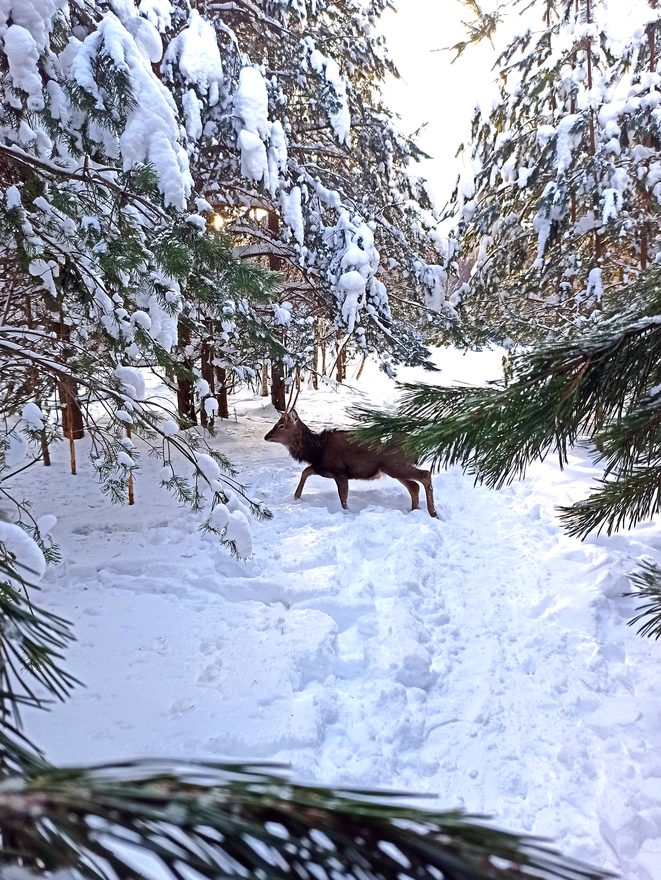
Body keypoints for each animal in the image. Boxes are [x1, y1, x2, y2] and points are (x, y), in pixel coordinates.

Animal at [262, 410, 438, 520]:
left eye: (281, 426)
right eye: (277, 423)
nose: (266, 436)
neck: (316, 451)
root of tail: (415, 444)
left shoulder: (340, 472)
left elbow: (343, 498)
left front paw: (347, 513)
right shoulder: (322, 468)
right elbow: (305, 471)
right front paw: (296, 497)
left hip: (396, 465)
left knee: (425, 475)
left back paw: (433, 513)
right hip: (394, 468)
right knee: (414, 486)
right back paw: (415, 510)